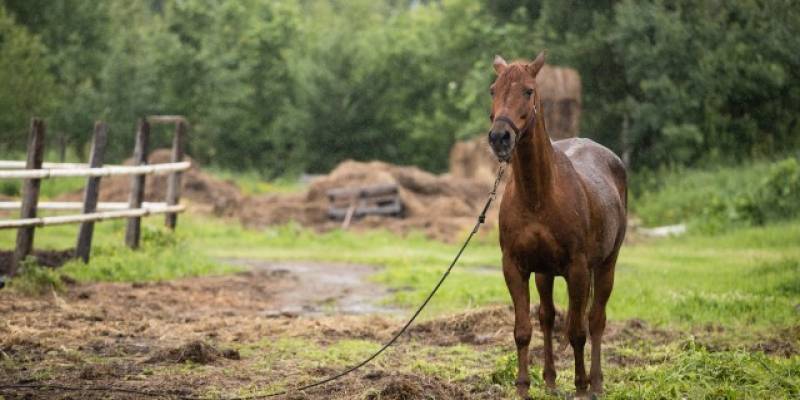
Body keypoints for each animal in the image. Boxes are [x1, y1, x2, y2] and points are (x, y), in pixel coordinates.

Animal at [484, 51, 628, 398]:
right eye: (493, 89)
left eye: (528, 91)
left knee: (596, 319)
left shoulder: (577, 269)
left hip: (606, 264)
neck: (538, 195)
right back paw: (549, 380)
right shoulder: (515, 267)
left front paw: (580, 386)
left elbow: (577, 331)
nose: (499, 138)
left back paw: (596, 383)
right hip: (545, 273)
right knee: (547, 317)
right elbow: (524, 329)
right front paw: (523, 386)